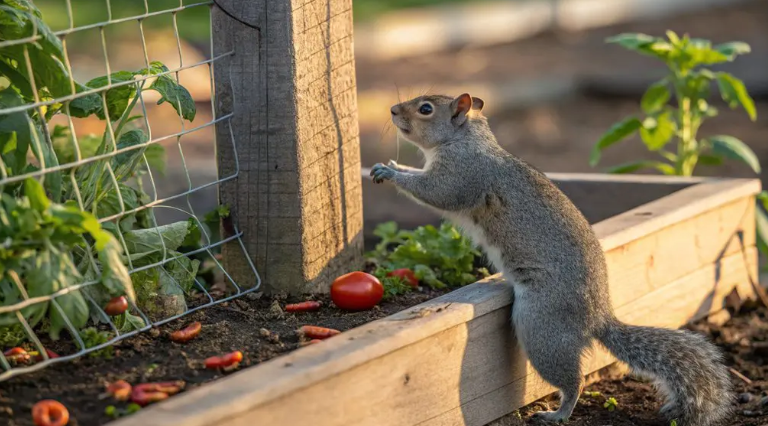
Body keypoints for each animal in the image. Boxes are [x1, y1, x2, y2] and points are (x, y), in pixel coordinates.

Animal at [370, 93, 731, 425]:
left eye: (425, 108)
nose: (392, 110)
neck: (465, 139)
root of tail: (597, 316)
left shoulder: (462, 175)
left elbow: (436, 192)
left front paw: (392, 171)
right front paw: (391, 166)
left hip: (541, 326)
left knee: (574, 380)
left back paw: (557, 413)